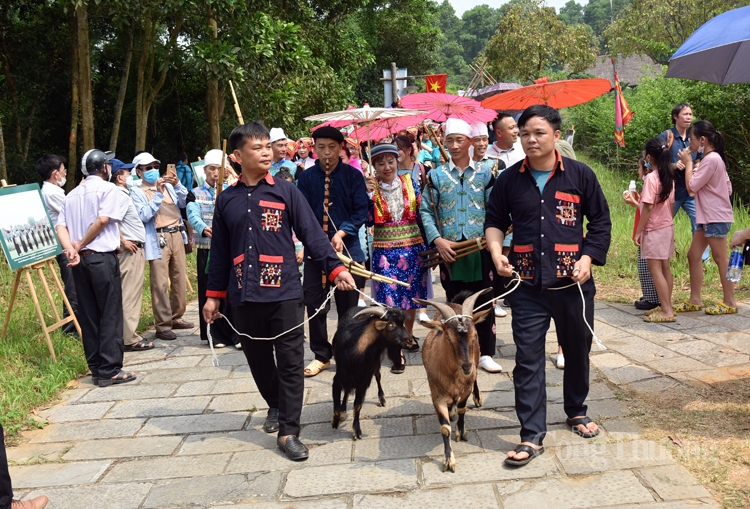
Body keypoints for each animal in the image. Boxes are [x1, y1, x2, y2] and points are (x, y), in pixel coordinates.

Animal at [332, 304, 412, 438]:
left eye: (403, 324)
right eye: (391, 325)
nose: (410, 341)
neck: (357, 351)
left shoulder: (364, 380)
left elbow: (358, 405)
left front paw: (357, 430)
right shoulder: (339, 377)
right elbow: (337, 406)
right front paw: (336, 421)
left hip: (376, 365)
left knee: (378, 377)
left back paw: (382, 399)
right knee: (347, 390)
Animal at [418, 290, 494, 472]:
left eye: (474, 334)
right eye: (448, 337)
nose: (466, 366)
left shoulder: (465, 389)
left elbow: (462, 409)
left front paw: (461, 432)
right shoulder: (437, 396)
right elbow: (445, 428)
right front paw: (448, 461)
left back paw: (477, 398)